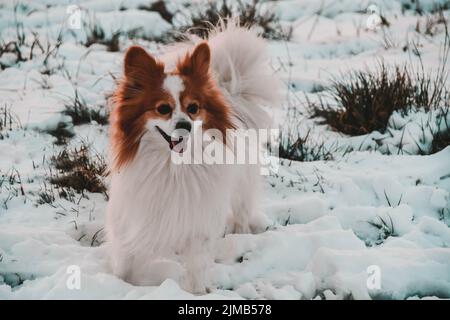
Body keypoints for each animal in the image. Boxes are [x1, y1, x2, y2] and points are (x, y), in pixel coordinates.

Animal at [107, 21, 280, 292]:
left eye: (193, 108)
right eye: (163, 108)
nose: (185, 125)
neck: (173, 167)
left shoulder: (199, 220)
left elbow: (197, 265)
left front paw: (197, 292)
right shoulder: (133, 215)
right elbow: (125, 259)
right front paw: (122, 284)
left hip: (241, 187)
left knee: (241, 213)